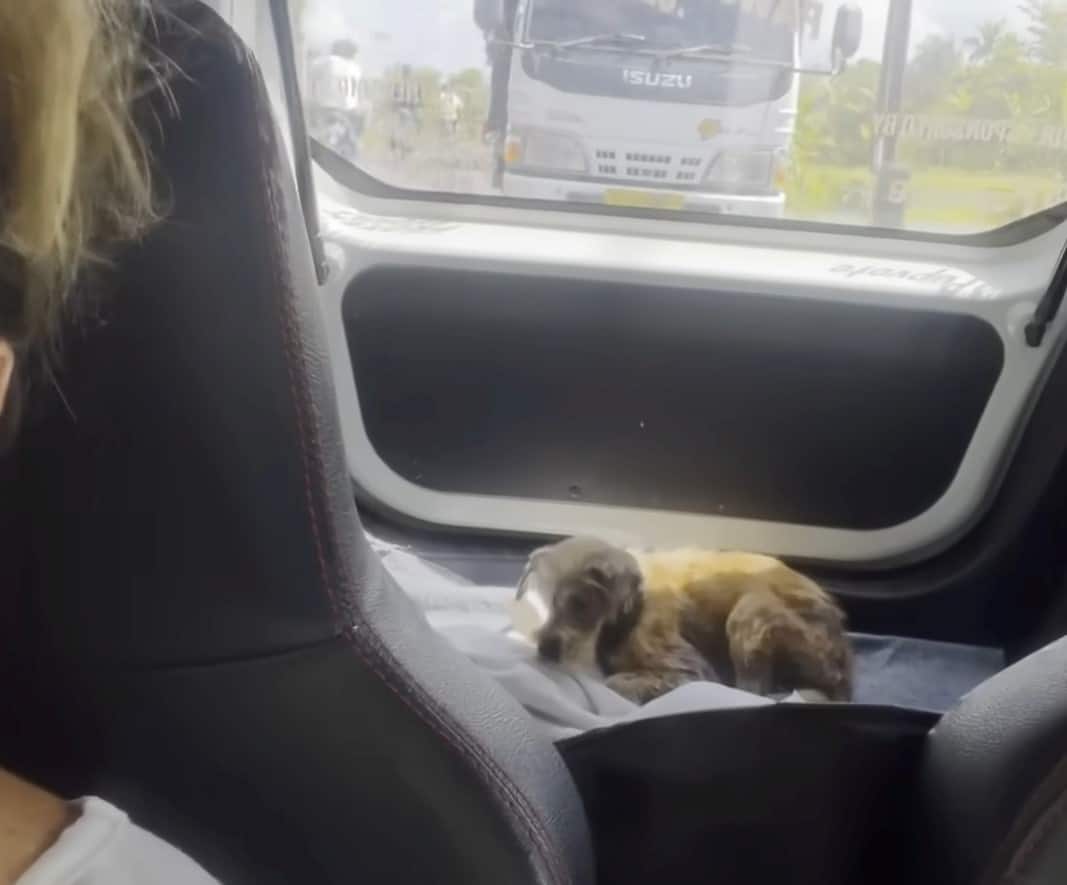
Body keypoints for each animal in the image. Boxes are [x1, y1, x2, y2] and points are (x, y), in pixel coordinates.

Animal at [516, 531, 849, 704]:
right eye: (536, 602)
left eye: (580, 605)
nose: (546, 648)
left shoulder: (691, 671)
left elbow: (615, 682)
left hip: (751, 611)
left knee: (752, 691)